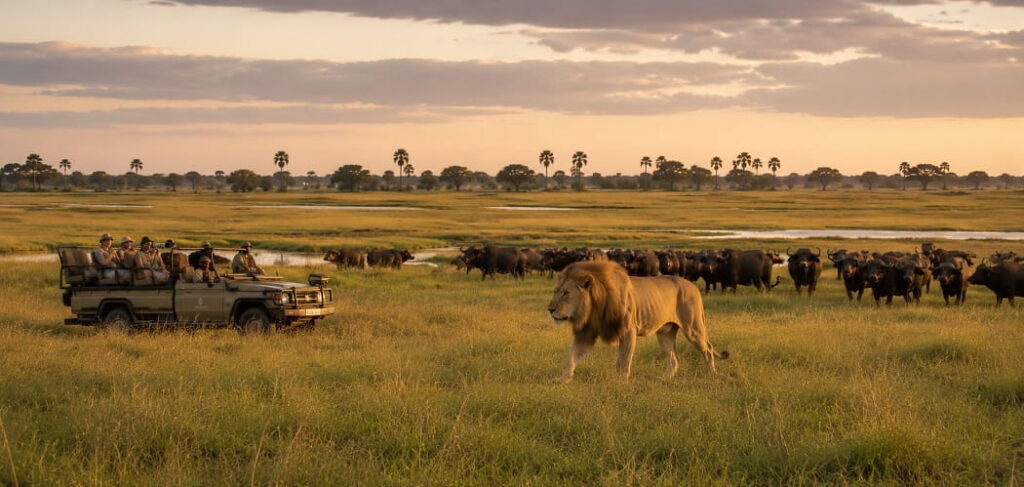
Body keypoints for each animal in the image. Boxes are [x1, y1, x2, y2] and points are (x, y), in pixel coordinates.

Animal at [547, 260, 728, 382]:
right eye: (555, 291)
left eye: (566, 293)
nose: (550, 309)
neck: (594, 307)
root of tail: (694, 286)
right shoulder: (586, 333)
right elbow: (571, 357)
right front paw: (563, 379)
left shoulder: (628, 330)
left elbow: (624, 359)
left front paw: (620, 381)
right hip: (665, 333)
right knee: (673, 359)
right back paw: (664, 379)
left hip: (693, 328)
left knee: (707, 349)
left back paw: (712, 374)